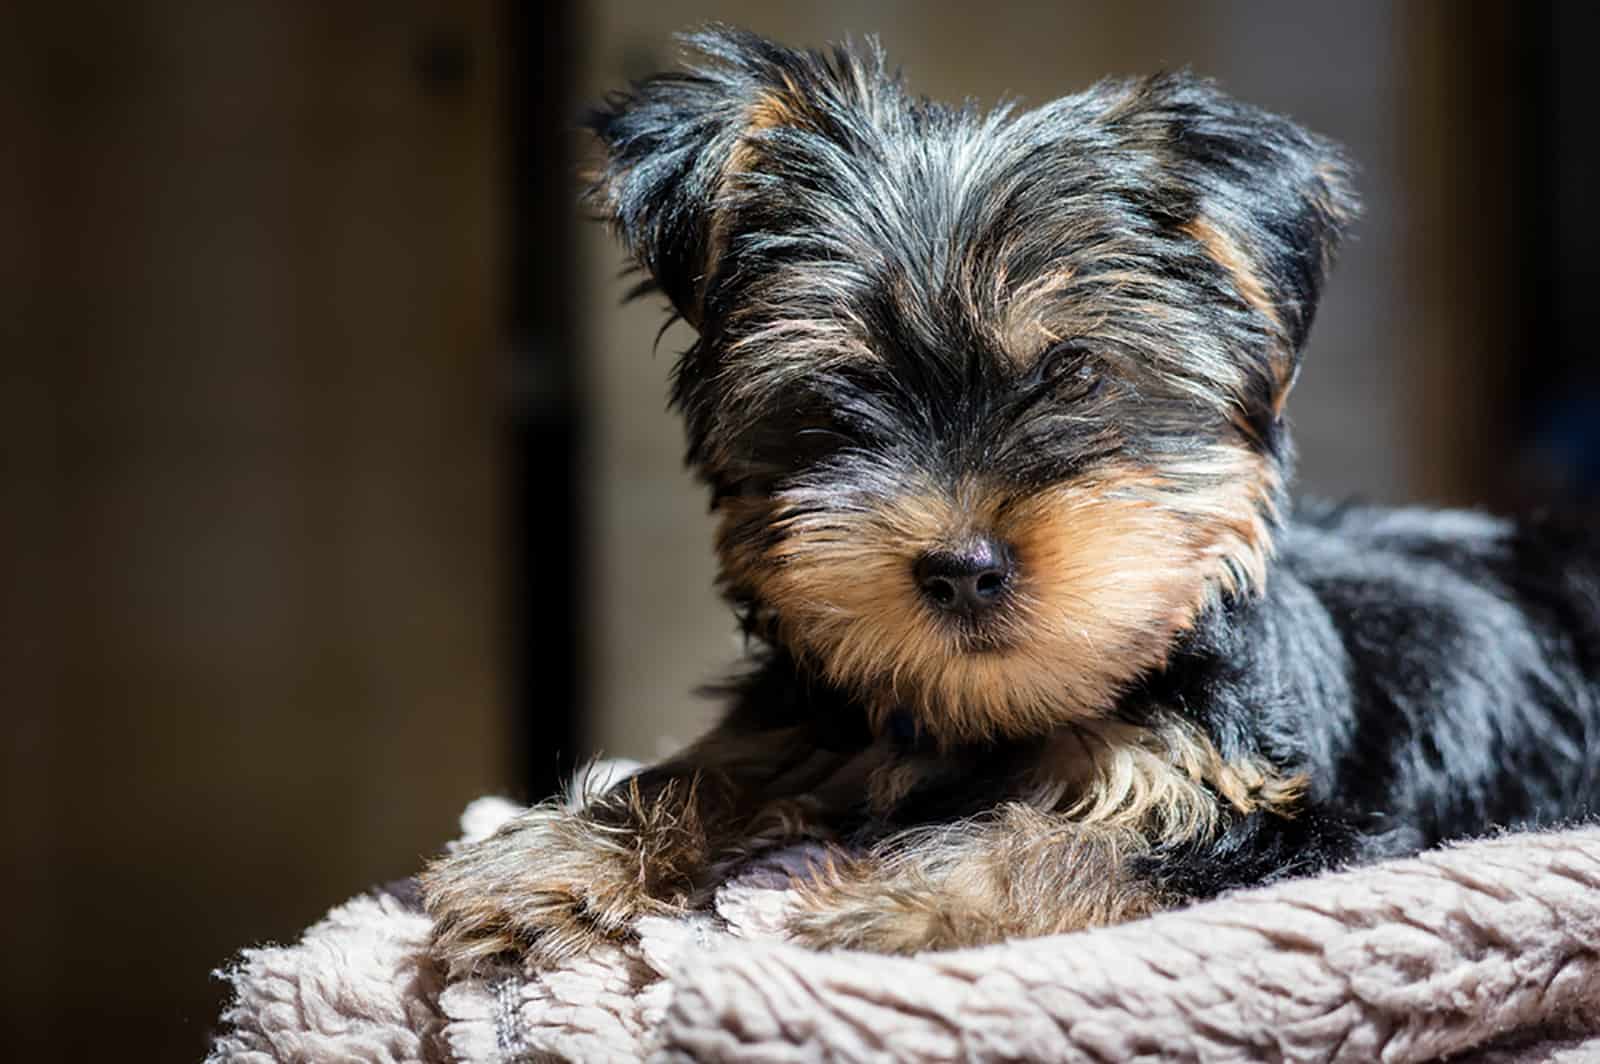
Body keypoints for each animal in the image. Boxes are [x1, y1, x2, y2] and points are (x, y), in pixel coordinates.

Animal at [419, 27, 1593, 972]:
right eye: (840, 394)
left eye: (1078, 375)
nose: (961, 565)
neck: (995, 714)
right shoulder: (826, 711)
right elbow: (722, 759)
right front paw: (551, 858)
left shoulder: (1297, 825)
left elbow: (1086, 844)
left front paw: (904, 902)